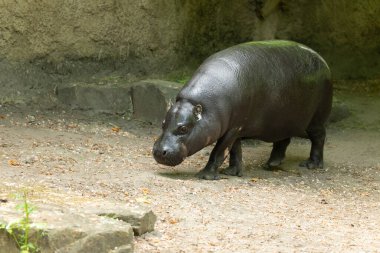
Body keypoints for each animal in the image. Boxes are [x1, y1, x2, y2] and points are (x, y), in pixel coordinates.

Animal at [153, 40, 332, 180]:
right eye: (162, 123)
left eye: (183, 128)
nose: (159, 151)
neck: (203, 105)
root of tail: (322, 59)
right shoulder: (237, 127)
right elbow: (235, 150)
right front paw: (232, 172)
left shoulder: (233, 128)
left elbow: (219, 151)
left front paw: (205, 175)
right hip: (282, 120)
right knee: (282, 140)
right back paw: (270, 164)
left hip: (315, 120)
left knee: (319, 138)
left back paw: (311, 165)